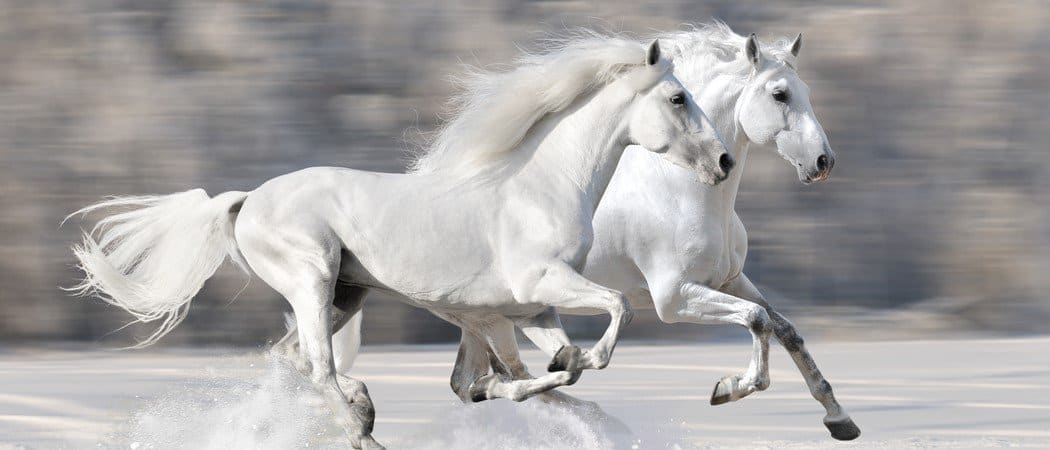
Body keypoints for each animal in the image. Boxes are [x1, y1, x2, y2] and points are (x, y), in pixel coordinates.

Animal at [67, 36, 732, 448]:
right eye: (678, 97)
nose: (724, 161)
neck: (540, 188)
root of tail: (246, 200)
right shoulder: (534, 293)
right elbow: (604, 321)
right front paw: (560, 370)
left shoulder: (530, 309)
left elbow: (540, 370)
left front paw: (541, 379)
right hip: (311, 279)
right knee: (317, 366)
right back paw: (364, 425)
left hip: (345, 294)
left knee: (291, 360)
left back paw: (361, 413)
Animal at [321, 22, 860, 441]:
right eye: (780, 94)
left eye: (806, 93)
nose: (823, 162)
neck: (682, 190)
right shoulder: (675, 298)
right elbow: (756, 320)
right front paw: (729, 388)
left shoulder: (729, 280)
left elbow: (784, 328)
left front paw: (840, 419)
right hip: (488, 315)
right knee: (491, 379)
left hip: (481, 318)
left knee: (472, 382)